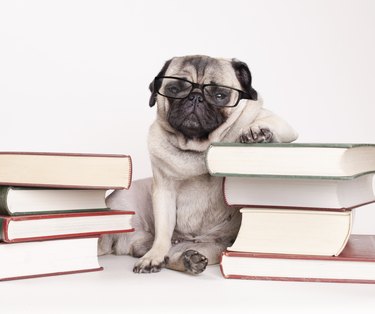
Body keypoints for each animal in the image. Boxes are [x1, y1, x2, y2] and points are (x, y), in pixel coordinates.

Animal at [98, 55, 298, 274]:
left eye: (220, 95)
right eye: (174, 89)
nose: (195, 97)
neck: (197, 146)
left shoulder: (281, 125)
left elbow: (268, 124)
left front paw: (256, 131)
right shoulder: (164, 191)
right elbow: (163, 231)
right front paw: (154, 256)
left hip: (216, 248)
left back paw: (189, 259)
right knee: (156, 248)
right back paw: (180, 259)